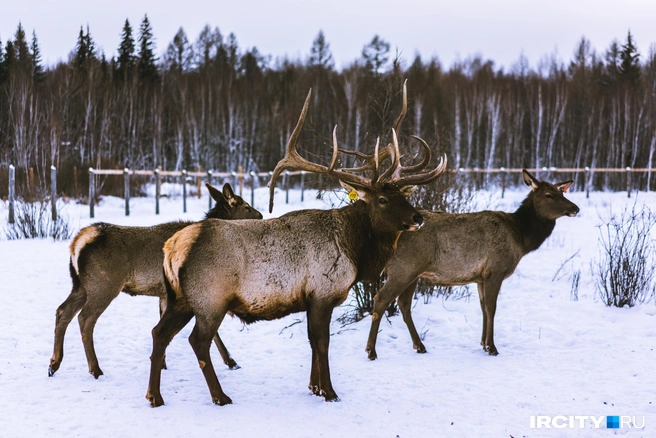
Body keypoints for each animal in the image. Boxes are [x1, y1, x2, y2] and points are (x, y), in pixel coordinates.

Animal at [48, 183, 262, 378]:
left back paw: (53, 364)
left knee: (62, 311)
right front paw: (231, 361)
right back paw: (95, 369)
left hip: (80, 285)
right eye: (245, 206)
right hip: (103, 284)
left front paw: (162, 363)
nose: (260, 216)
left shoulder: (165, 294)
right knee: (85, 319)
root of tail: (76, 243)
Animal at [146, 86, 448, 408]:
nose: (417, 218)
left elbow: (312, 343)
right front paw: (330, 392)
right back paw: (220, 396)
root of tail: (172, 247)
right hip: (210, 299)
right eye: (382, 199)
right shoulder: (324, 293)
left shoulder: (309, 299)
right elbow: (322, 343)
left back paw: (155, 396)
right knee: (197, 341)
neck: (355, 250)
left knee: (159, 333)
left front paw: (314, 387)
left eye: (404, 195)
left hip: (180, 299)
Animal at [366, 171, 580, 360]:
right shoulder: (496, 269)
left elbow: (483, 307)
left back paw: (419, 346)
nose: (575, 208)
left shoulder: (480, 276)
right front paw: (492, 348)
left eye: (562, 192)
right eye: (548, 195)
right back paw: (371, 351)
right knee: (381, 299)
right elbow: (492, 308)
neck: (521, 239)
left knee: (404, 303)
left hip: (413, 272)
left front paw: (483, 344)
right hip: (404, 268)